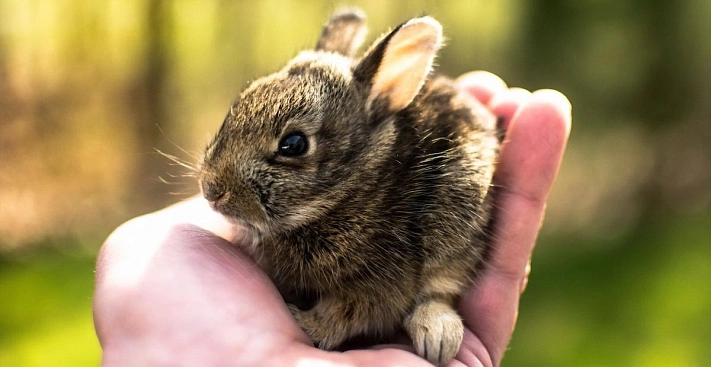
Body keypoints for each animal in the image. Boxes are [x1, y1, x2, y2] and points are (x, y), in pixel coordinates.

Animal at [200, 9, 498, 367]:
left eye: (294, 144)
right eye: (236, 107)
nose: (212, 190)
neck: (347, 191)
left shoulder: (378, 283)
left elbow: (344, 315)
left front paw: (302, 321)